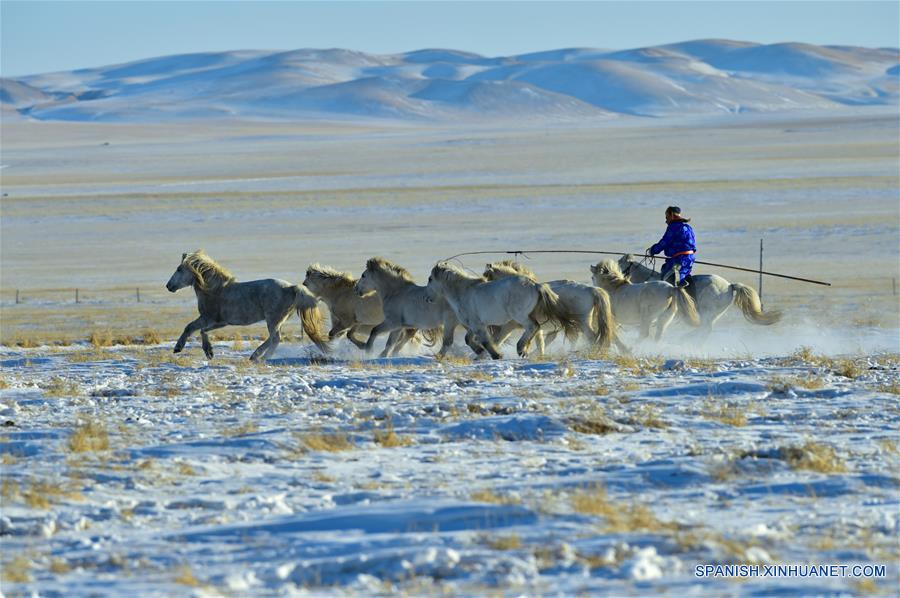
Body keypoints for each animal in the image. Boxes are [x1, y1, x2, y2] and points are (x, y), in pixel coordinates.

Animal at [165, 250, 330, 360]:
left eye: (179, 269)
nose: (168, 286)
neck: (214, 290)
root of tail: (291, 288)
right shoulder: (220, 322)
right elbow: (202, 331)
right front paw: (209, 353)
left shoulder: (208, 317)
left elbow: (191, 327)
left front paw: (178, 348)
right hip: (278, 320)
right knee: (272, 338)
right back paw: (254, 356)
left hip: (273, 319)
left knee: (275, 338)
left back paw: (262, 358)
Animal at [428, 262, 580, 360]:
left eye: (430, 279)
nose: (427, 298)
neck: (462, 292)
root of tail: (535, 285)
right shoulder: (475, 324)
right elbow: (468, 339)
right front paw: (480, 351)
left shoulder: (477, 325)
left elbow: (486, 340)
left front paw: (496, 355)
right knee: (536, 331)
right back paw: (524, 350)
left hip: (519, 315)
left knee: (533, 326)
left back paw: (521, 349)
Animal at [486, 260, 620, 354]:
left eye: (486, 277)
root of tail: (591, 289)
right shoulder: (537, 329)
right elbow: (540, 343)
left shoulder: (510, 326)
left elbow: (498, 340)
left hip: (583, 323)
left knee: (592, 337)